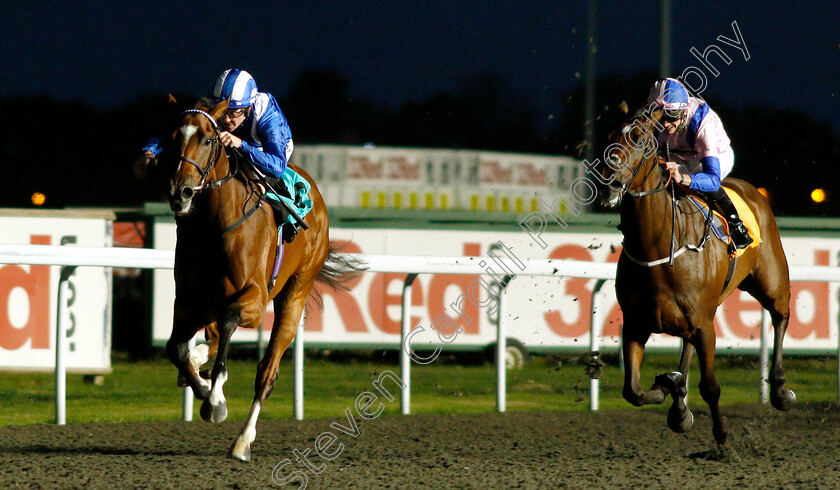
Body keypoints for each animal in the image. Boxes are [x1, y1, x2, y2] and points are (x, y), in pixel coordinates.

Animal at [162, 97, 360, 462]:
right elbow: (175, 348)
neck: (213, 227)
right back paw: (199, 365)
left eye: (208, 139)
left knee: (266, 372)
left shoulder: (253, 299)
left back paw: (242, 440)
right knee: (210, 339)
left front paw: (215, 401)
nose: (180, 193)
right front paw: (201, 383)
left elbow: (228, 322)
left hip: (295, 292)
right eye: (172, 139)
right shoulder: (189, 302)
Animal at [596, 104, 796, 448]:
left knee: (780, 315)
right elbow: (633, 391)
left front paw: (722, 435)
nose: (609, 182)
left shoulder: (705, 326)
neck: (658, 248)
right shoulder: (636, 324)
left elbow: (711, 387)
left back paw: (780, 391)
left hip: (771, 282)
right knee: (685, 347)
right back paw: (678, 405)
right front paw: (670, 388)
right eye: (609, 136)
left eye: (639, 139)